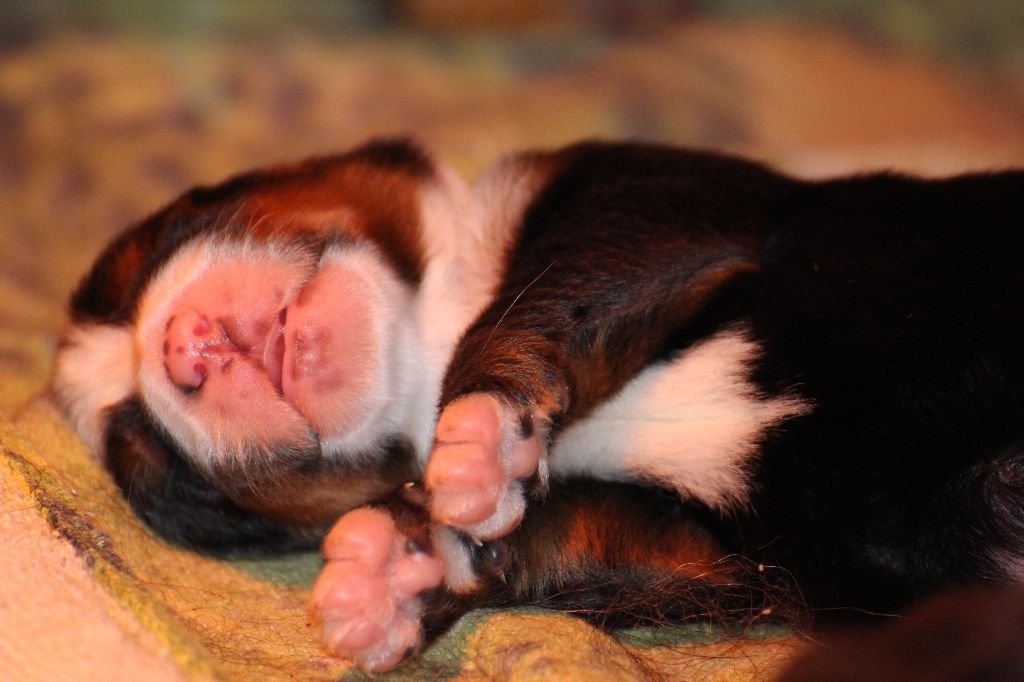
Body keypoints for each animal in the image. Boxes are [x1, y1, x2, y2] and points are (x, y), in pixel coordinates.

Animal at [51, 139, 1024, 667]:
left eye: (164, 237)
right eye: (156, 459)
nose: (186, 345)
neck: (426, 340)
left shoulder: (654, 196)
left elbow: (566, 277)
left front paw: (476, 429)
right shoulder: (718, 551)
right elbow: (571, 531)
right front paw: (397, 569)